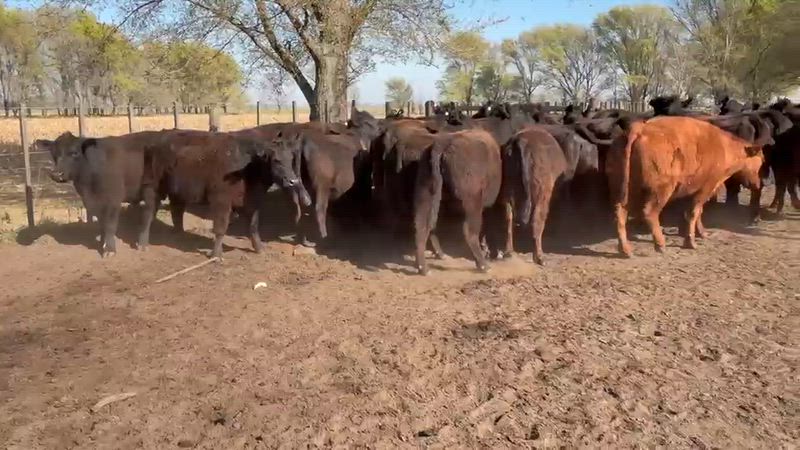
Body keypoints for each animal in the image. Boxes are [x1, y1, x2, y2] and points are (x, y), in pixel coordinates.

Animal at [413, 129, 502, 275]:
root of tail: (442, 144)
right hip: (473, 202)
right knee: (469, 230)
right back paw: (483, 265)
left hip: (427, 194)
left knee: (423, 225)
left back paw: (425, 267)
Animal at [499, 126, 600, 265]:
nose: (596, 167)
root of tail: (522, 141)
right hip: (542, 193)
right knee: (537, 221)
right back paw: (539, 256)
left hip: (508, 189)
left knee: (508, 219)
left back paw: (508, 252)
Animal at [607, 114, 779, 257]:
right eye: (762, 160)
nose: (761, 183)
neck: (724, 146)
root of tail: (638, 129)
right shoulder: (705, 189)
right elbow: (694, 213)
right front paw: (691, 241)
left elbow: (695, 213)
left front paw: (701, 233)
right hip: (661, 191)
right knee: (650, 213)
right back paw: (660, 244)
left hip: (625, 191)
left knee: (620, 213)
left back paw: (625, 249)